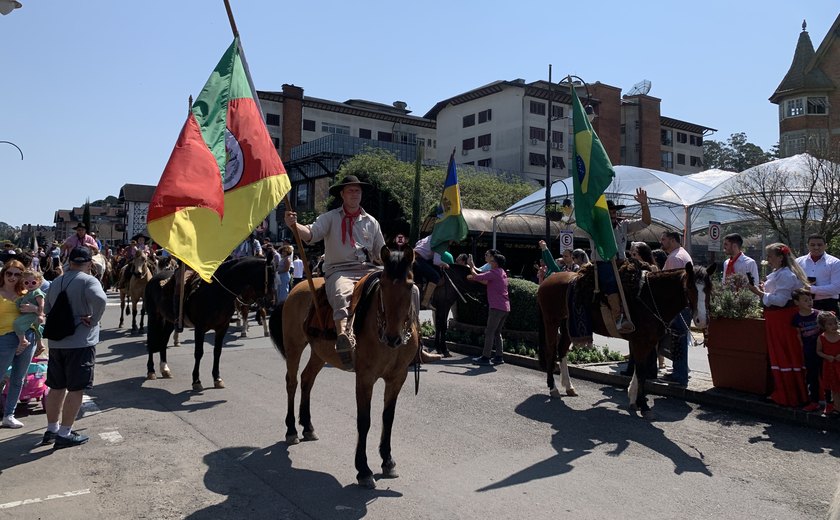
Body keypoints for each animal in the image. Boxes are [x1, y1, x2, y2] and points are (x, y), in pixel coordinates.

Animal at [144, 256, 274, 390]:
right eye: (269, 276)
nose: (271, 301)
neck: (217, 292)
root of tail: (154, 278)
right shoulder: (200, 328)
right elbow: (198, 352)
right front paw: (196, 381)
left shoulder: (222, 328)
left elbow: (217, 352)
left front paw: (217, 378)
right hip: (153, 317)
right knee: (151, 340)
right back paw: (151, 371)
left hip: (170, 321)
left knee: (163, 341)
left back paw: (165, 369)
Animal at [270, 246, 420, 490]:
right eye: (383, 284)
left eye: (410, 284)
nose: (393, 337)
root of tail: (296, 288)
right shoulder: (365, 377)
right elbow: (364, 420)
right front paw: (363, 469)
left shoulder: (397, 377)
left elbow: (388, 418)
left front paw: (387, 461)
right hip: (294, 347)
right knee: (291, 382)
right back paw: (291, 430)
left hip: (319, 353)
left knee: (307, 379)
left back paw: (308, 427)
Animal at [540, 262, 716, 416]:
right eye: (690, 287)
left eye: (709, 288)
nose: (701, 320)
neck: (651, 296)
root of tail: (548, 279)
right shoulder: (640, 341)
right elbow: (642, 372)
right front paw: (643, 405)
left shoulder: (648, 342)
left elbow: (640, 370)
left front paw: (634, 399)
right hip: (551, 322)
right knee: (550, 351)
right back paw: (553, 388)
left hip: (568, 326)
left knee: (562, 350)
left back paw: (568, 386)